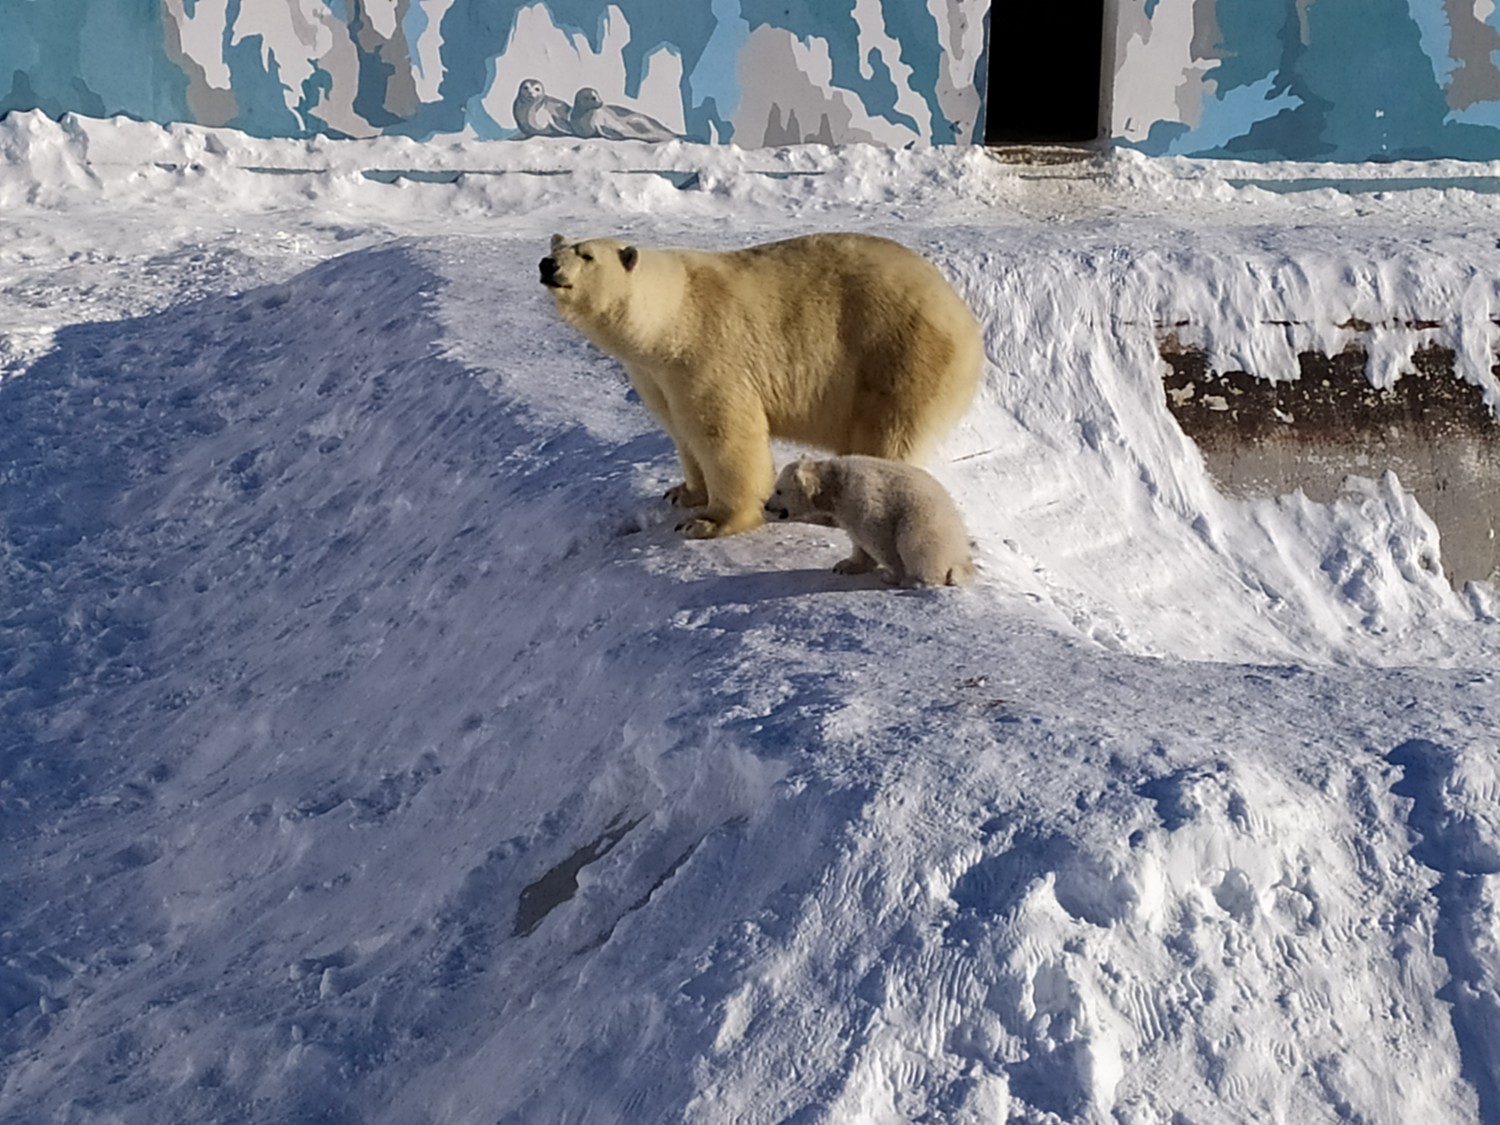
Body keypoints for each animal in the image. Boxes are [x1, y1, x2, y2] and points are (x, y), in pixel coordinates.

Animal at [540, 231, 984, 540]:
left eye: (586, 255)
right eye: (558, 242)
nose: (547, 264)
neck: (671, 316)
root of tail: (964, 316)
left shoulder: (709, 353)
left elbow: (724, 435)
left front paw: (708, 523)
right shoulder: (656, 375)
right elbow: (682, 431)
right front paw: (683, 493)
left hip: (901, 356)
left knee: (887, 435)